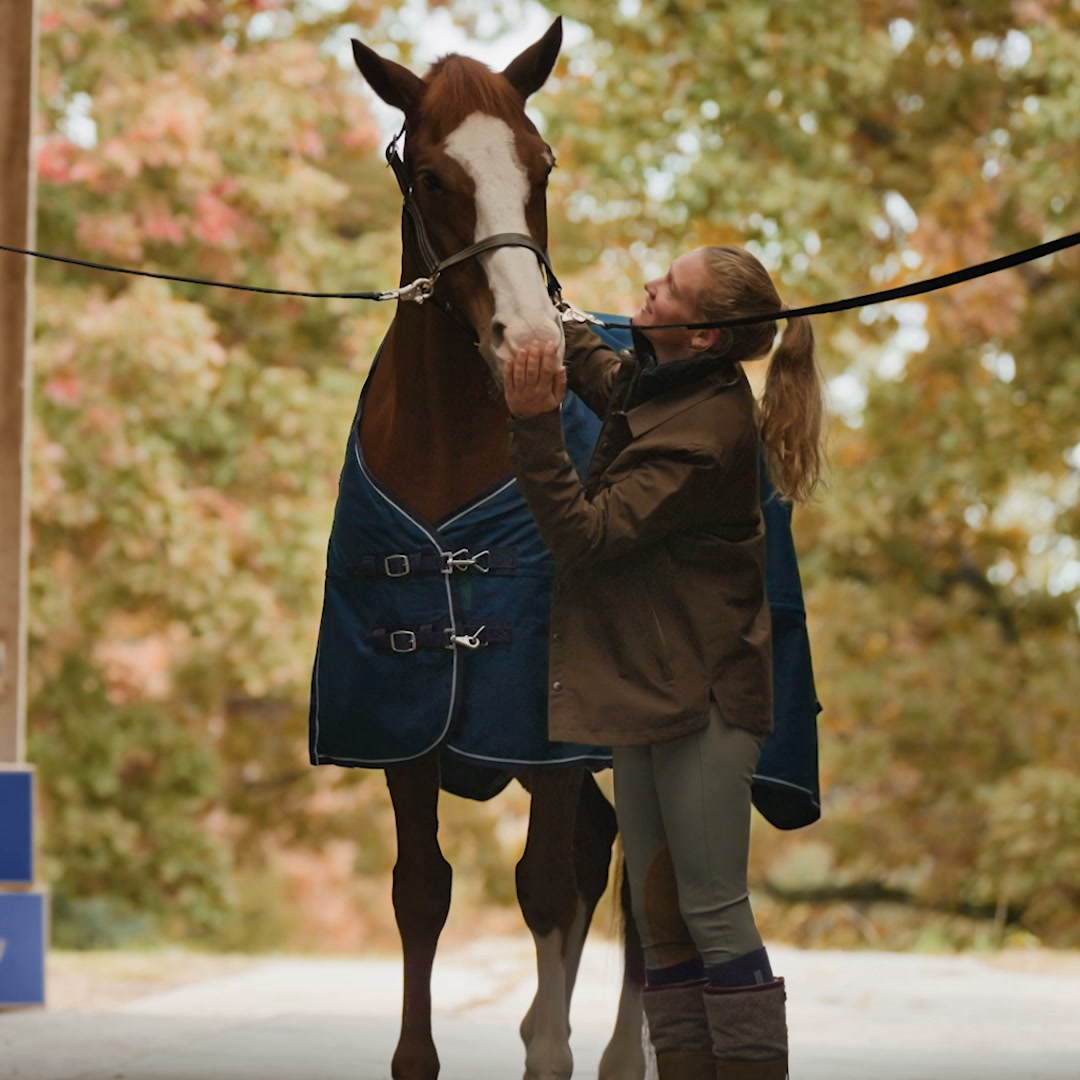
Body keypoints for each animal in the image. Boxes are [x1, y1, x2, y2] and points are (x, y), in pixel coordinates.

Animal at [308, 19, 647, 1080]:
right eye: (430, 175)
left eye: (540, 166)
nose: (531, 345)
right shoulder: (403, 728)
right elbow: (421, 892)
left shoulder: (550, 736)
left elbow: (543, 886)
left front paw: (556, 1054)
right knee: (604, 853)